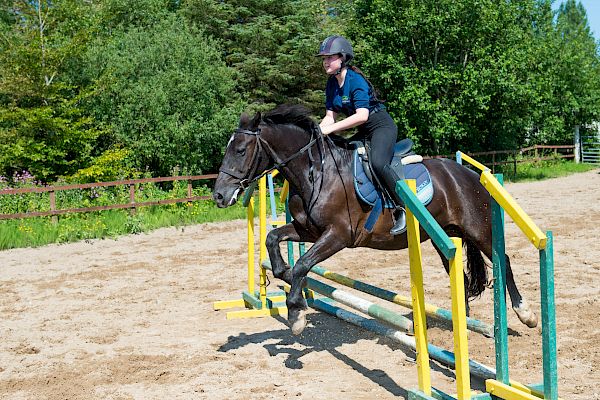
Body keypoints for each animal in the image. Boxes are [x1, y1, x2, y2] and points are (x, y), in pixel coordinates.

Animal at [213, 104, 536, 336]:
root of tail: (469, 174)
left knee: (503, 260)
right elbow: (273, 240)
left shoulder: (339, 235)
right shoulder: (308, 230)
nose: (219, 196)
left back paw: (526, 314)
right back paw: (462, 327)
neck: (316, 172)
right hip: (444, 236)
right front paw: (288, 279)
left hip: (478, 228)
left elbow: (304, 264)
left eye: (240, 150)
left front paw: (295, 312)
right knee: (462, 277)